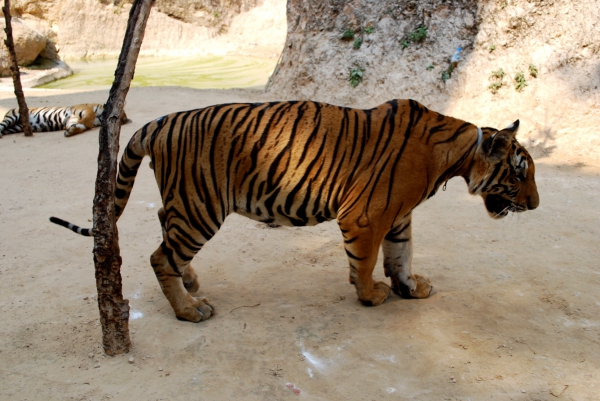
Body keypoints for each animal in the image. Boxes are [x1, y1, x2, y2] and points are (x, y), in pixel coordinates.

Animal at [0, 103, 131, 138]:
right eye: (119, 116)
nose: (121, 120)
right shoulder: (82, 108)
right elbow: (89, 115)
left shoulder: (72, 118)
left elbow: (81, 126)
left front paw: (71, 130)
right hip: (12, 117)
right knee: (1, 125)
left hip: (14, 127)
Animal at [50, 99, 540, 322]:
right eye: (519, 174)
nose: (535, 204)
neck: (455, 158)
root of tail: (161, 120)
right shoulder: (365, 216)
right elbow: (365, 263)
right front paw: (371, 296)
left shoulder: (399, 217)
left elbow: (401, 254)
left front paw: (410, 288)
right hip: (200, 208)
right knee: (159, 255)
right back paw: (189, 309)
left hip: (184, 204)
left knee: (163, 235)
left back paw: (190, 283)